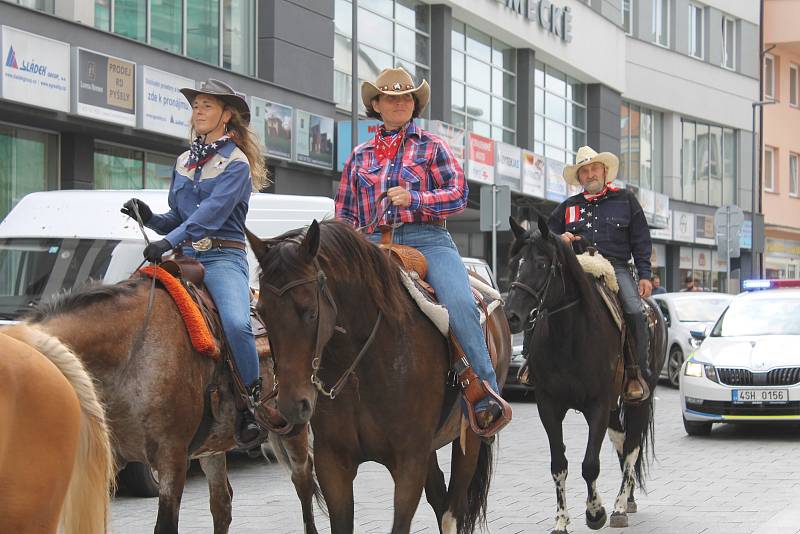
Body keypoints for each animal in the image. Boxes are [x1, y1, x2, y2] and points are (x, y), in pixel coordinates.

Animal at [21, 278, 316, 532]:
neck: (131, 352)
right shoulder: (110, 460)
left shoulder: (171, 457)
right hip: (212, 446)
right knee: (222, 504)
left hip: (293, 426)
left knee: (303, 481)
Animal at [245, 221, 512, 534]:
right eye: (261, 313)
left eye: (310, 312)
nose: (290, 405)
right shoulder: (332, 463)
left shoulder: (409, 463)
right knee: (439, 498)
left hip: (469, 436)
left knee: (452, 510)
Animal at [504, 218, 664, 534]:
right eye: (514, 262)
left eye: (542, 264)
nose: (512, 315)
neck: (570, 337)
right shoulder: (548, 406)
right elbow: (558, 464)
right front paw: (561, 521)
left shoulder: (598, 406)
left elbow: (590, 464)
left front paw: (595, 512)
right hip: (615, 406)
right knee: (621, 441)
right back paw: (627, 499)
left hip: (638, 399)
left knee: (632, 447)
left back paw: (619, 506)